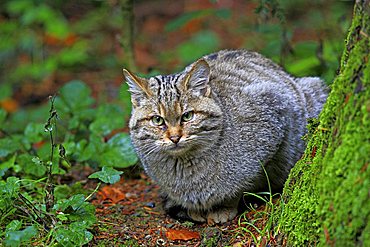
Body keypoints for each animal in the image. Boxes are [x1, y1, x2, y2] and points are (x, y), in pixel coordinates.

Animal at [122, 48, 326, 224]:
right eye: (157, 120)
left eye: (188, 116)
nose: (174, 137)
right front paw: (193, 209)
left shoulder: (275, 109)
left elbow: (241, 184)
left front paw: (224, 207)